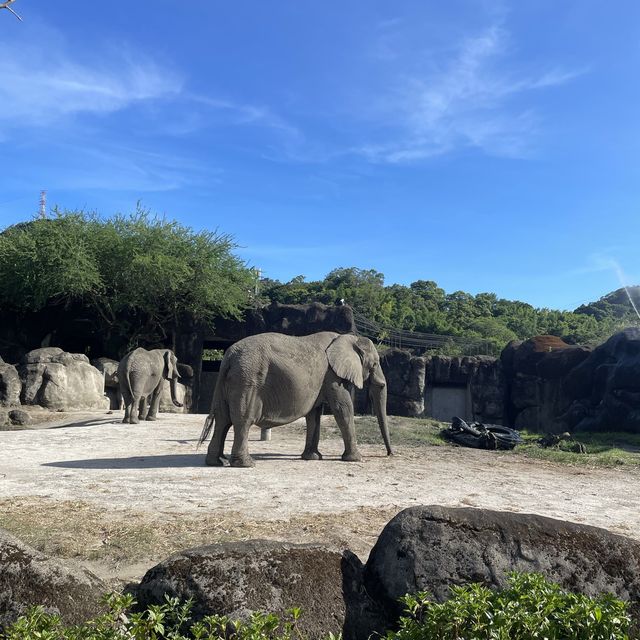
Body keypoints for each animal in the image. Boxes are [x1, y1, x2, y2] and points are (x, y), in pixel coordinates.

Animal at [198, 332, 392, 468]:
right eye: (375, 364)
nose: (389, 454)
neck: (347, 337)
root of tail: (228, 356)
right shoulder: (332, 376)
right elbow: (342, 409)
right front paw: (355, 459)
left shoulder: (323, 380)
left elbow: (314, 415)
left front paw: (312, 458)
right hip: (247, 379)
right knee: (242, 421)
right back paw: (246, 464)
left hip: (230, 380)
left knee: (222, 419)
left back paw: (217, 462)